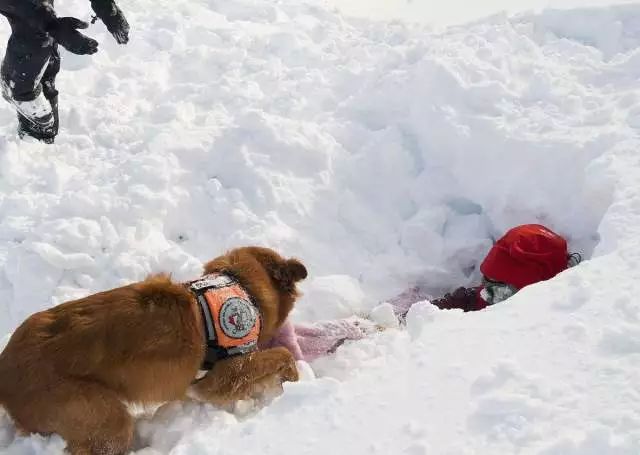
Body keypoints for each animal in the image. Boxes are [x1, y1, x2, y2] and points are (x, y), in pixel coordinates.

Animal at [0, 248, 308, 454]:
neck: (241, 287)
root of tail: (5, 367)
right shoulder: (225, 375)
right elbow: (282, 354)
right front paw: (292, 379)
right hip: (105, 419)